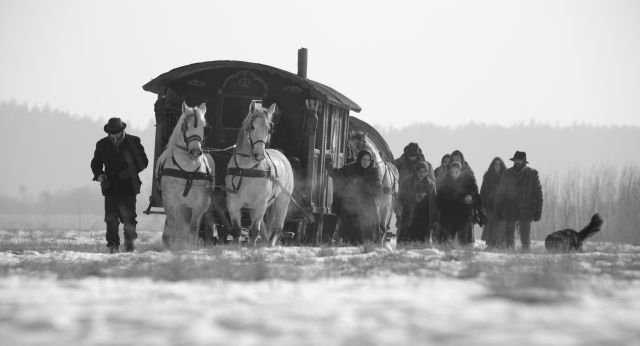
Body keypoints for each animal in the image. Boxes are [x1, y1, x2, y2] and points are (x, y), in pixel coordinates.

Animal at [155, 100, 215, 249]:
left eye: (204, 126)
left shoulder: (200, 205)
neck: (188, 170)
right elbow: (173, 224)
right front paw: (170, 246)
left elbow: (193, 228)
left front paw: (190, 247)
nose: (195, 151)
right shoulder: (170, 201)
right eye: (185, 126)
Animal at [225, 100, 296, 246]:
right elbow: (236, 231)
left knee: (276, 229)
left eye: (269, 129)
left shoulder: (260, 204)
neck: (246, 169)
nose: (259, 155)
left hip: (282, 202)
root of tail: (282, 156)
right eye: (252, 127)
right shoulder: (233, 204)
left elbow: (253, 232)